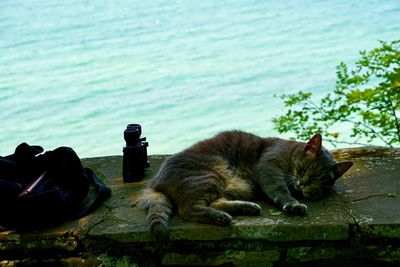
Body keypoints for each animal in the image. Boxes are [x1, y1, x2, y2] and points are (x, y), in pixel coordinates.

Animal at [139, 131, 352, 239]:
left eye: (317, 181)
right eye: (303, 168)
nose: (302, 184)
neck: (290, 151)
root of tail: (155, 182)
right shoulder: (269, 167)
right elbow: (279, 189)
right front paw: (293, 204)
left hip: (231, 186)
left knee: (214, 202)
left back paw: (246, 208)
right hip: (209, 175)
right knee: (189, 208)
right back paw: (221, 217)